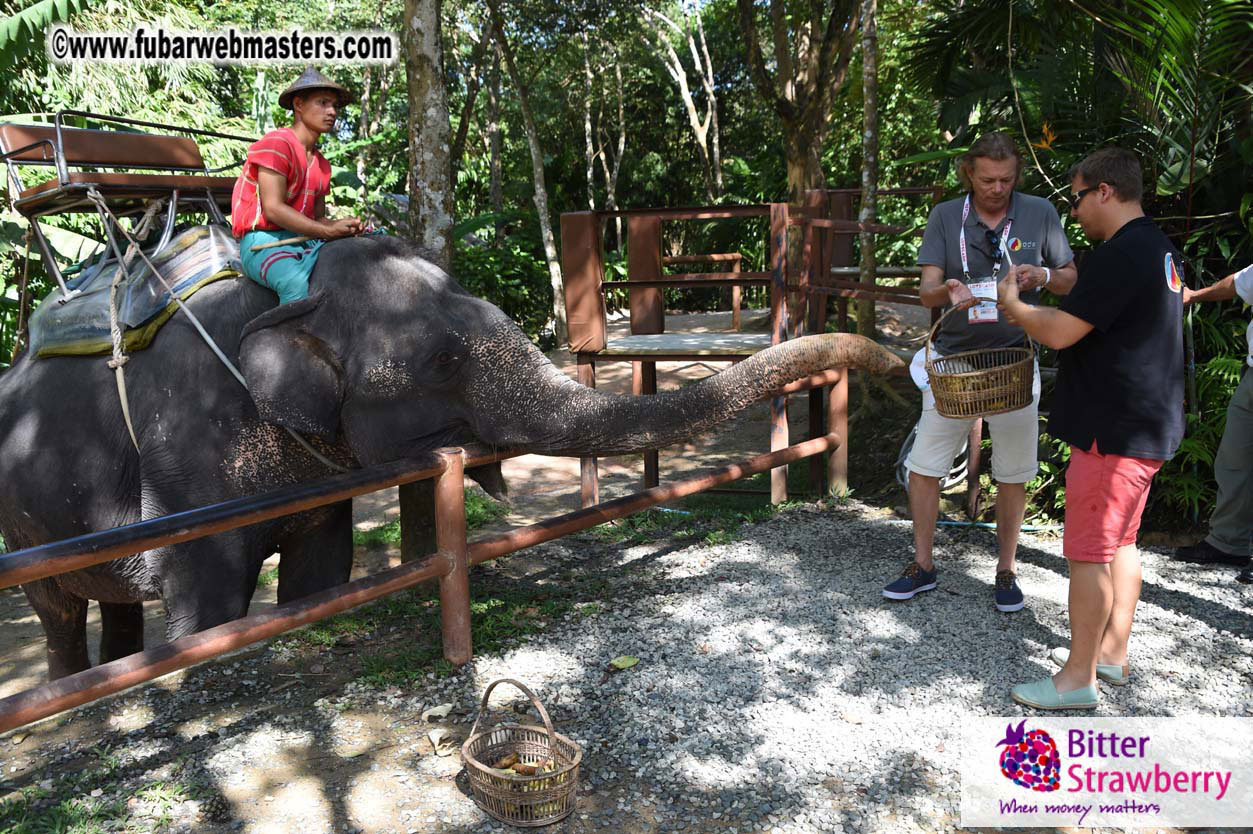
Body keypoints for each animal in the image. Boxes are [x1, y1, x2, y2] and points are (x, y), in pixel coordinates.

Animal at [0, 234, 902, 680]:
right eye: (440, 361)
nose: (896, 363)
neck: (292, 295)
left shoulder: (319, 474)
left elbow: (321, 568)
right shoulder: (188, 449)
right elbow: (211, 591)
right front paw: (191, 666)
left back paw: (120, 663)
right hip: (18, 520)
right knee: (55, 606)